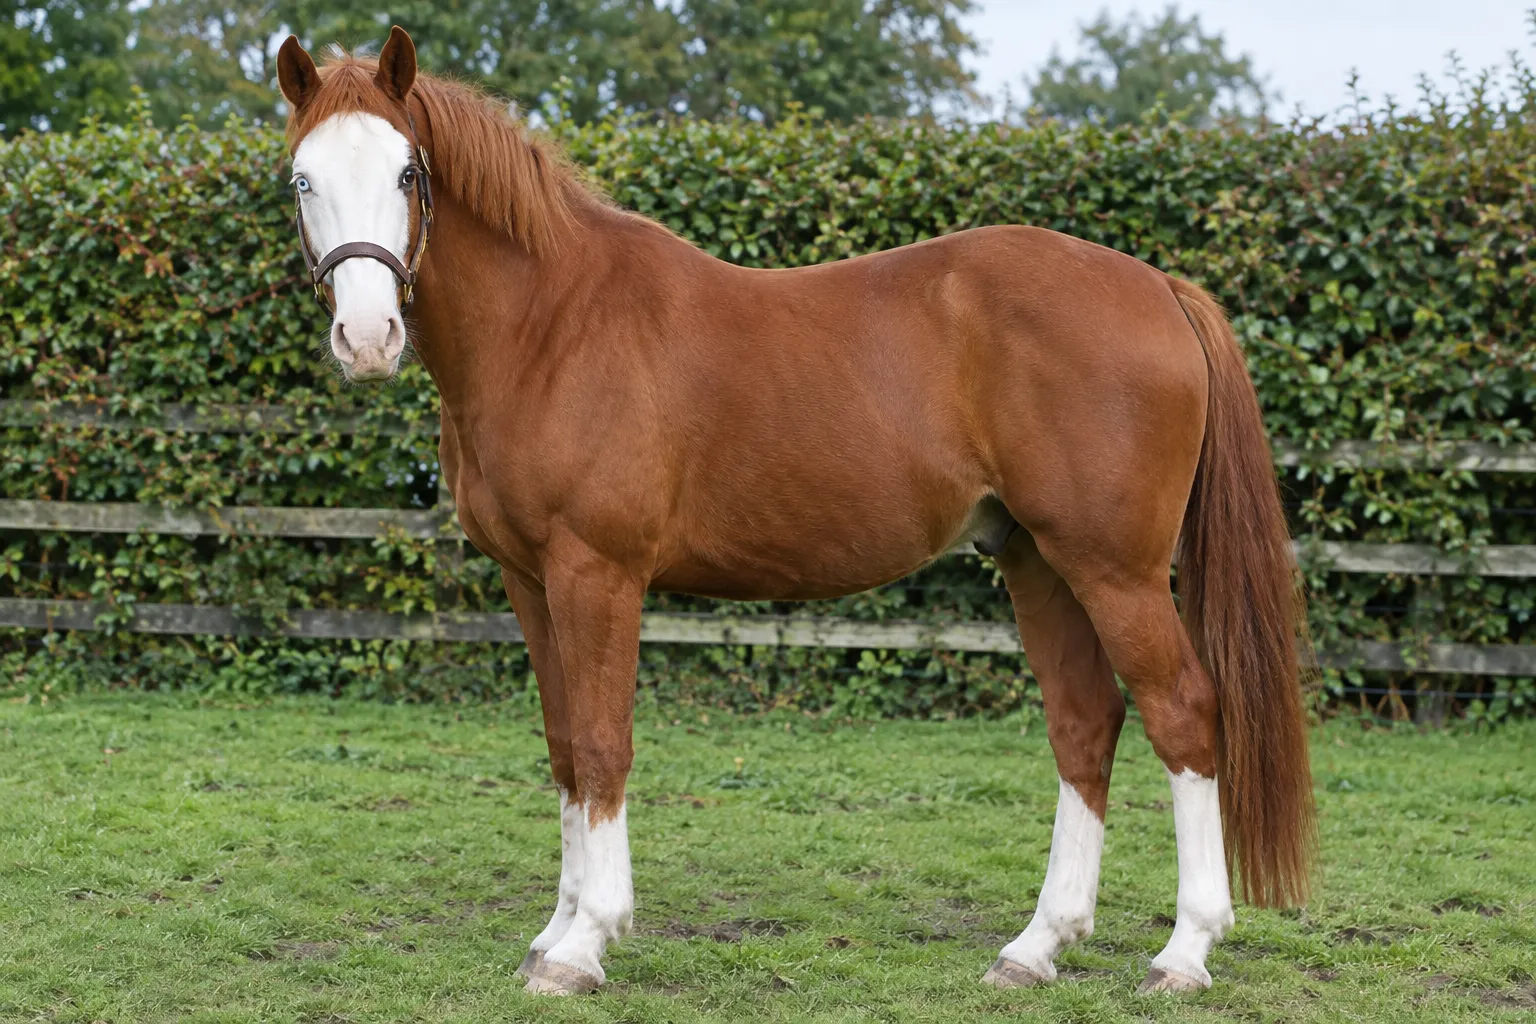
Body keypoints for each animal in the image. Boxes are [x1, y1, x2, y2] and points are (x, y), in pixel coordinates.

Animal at [276, 27, 1315, 997]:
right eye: (302, 179)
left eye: (408, 171)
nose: (367, 339)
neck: (552, 325)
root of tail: (1160, 288)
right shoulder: (529, 579)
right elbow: (567, 748)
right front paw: (554, 931)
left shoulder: (596, 573)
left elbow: (605, 746)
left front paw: (585, 943)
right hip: (1038, 560)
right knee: (1084, 723)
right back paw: (1036, 947)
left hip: (1116, 568)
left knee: (1183, 714)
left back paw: (1185, 951)